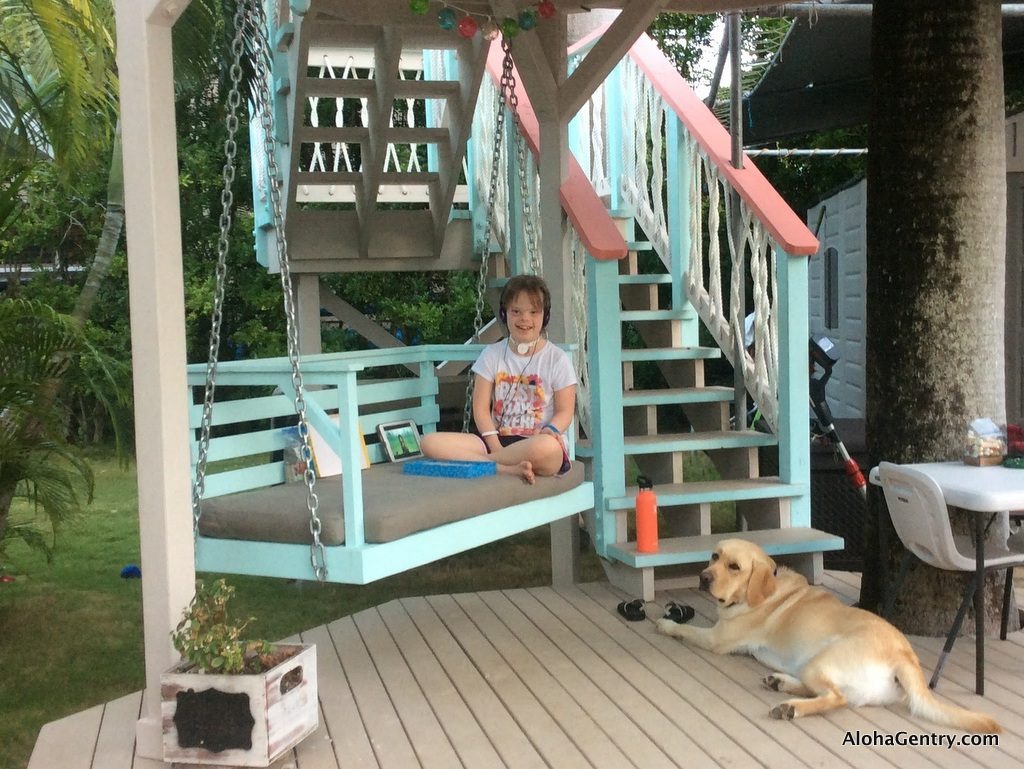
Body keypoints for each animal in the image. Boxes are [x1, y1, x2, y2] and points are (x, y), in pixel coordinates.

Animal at [655, 536, 999, 729]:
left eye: (735, 567)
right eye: (714, 556)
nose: (703, 577)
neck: (763, 590)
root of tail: (905, 656)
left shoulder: (717, 638)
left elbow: (686, 630)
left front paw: (666, 624)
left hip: (820, 660)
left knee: (835, 698)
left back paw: (790, 708)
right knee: (831, 694)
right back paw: (781, 684)